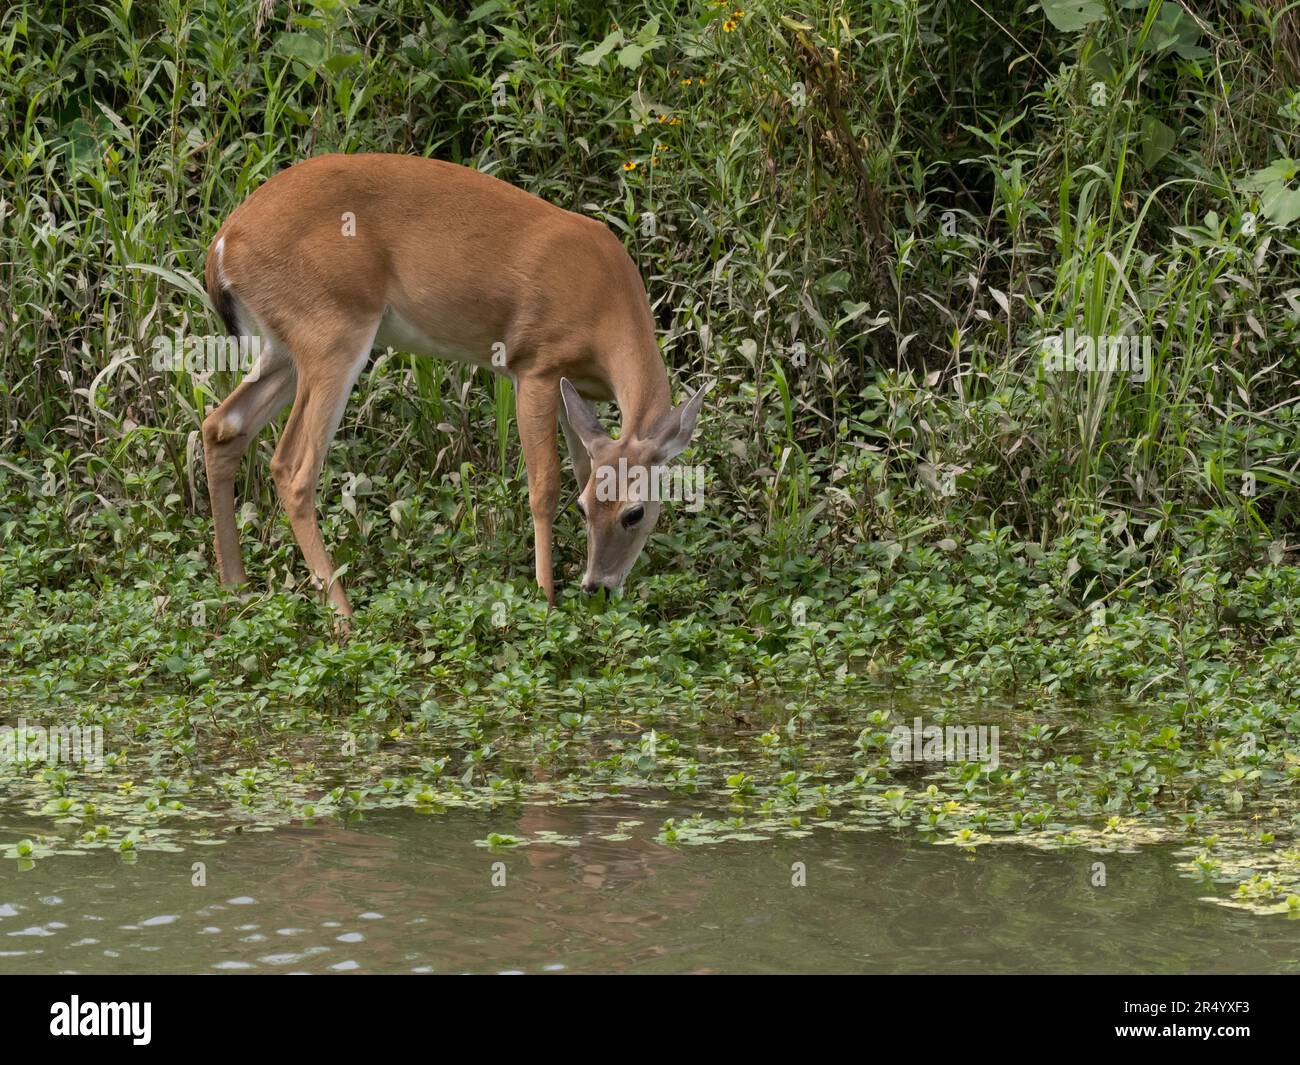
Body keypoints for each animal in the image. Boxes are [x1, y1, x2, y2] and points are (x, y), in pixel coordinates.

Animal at [200, 153, 710, 620]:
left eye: (633, 512)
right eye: (590, 510)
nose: (596, 587)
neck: (606, 305)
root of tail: (222, 245)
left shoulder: (576, 393)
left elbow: (582, 466)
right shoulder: (535, 367)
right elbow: (543, 486)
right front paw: (544, 598)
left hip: (282, 349)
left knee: (222, 425)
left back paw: (235, 588)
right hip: (331, 332)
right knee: (292, 465)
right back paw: (343, 616)